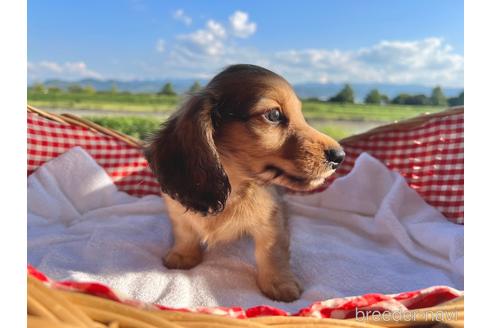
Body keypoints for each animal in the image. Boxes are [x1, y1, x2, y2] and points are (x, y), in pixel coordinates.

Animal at [145, 64, 346, 302]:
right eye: (274, 115)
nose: (340, 156)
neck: (233, 188)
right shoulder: (177, 212)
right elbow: (185, 232)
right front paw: (183, 255)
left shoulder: (272, 221)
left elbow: (272, 252)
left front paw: (280, 283)